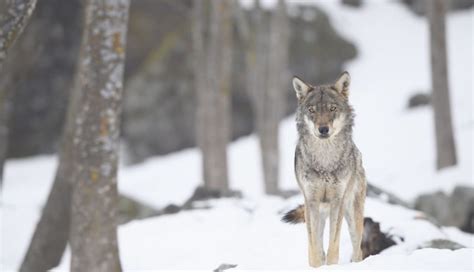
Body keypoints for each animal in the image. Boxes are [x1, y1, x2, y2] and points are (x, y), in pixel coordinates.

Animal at [282, 72, 366, 268]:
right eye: (312, 110)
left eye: (332, 108)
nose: (323, 129)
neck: (325, 161)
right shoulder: (311, 201)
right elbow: (314, 247)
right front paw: (316, 266)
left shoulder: (337, 201)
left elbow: (333, 245)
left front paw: (332, 266)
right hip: (318, 212)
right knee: (318, 244)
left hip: (353, 216)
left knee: (357, 249)